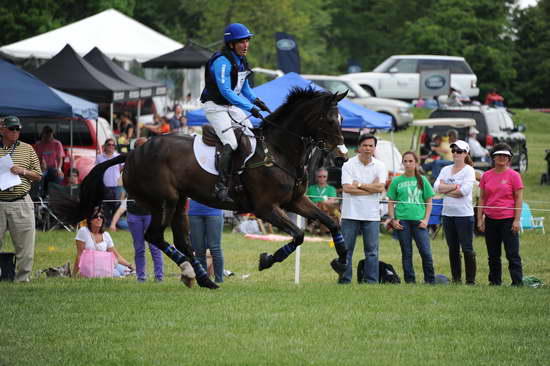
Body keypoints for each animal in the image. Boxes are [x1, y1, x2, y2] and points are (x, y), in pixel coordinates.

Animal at [54, 87, 352, 290]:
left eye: (341, 120)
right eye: (329, 120)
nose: (342, 156)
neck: (278, 151)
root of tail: (132, 153)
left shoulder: (295, 202)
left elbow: (331, 223)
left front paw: (341, 263)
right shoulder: (266, 208)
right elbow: (299, 235)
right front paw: (267, 259)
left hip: (179, 202)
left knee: (181, 241)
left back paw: (201, 277)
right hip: (164, 201)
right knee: (155, 236)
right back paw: (193, 273)